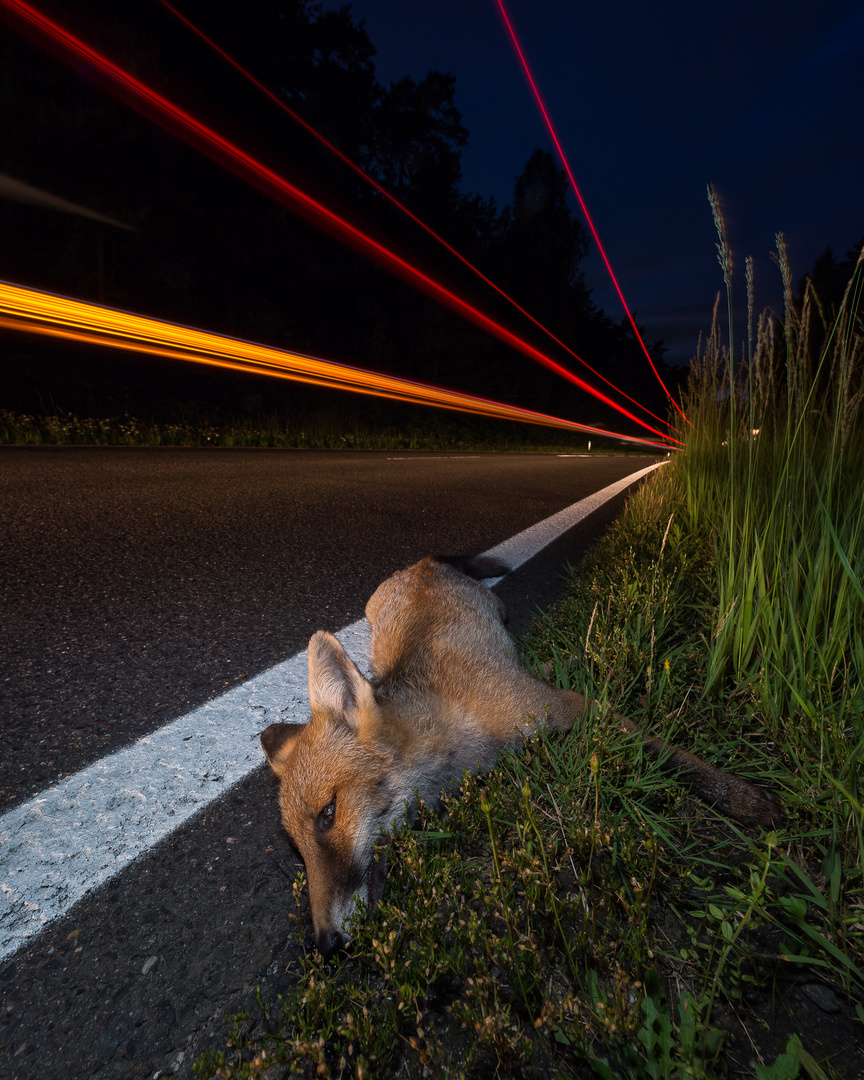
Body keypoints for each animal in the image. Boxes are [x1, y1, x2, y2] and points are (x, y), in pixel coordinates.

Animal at [260, 557, 777, 954]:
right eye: (297, 850)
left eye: (327, 815)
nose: (325, 945)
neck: (457, 729)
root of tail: (421, 563)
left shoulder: (567, 706)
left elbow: (670, 754)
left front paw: (742, 797)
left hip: (498, 611)